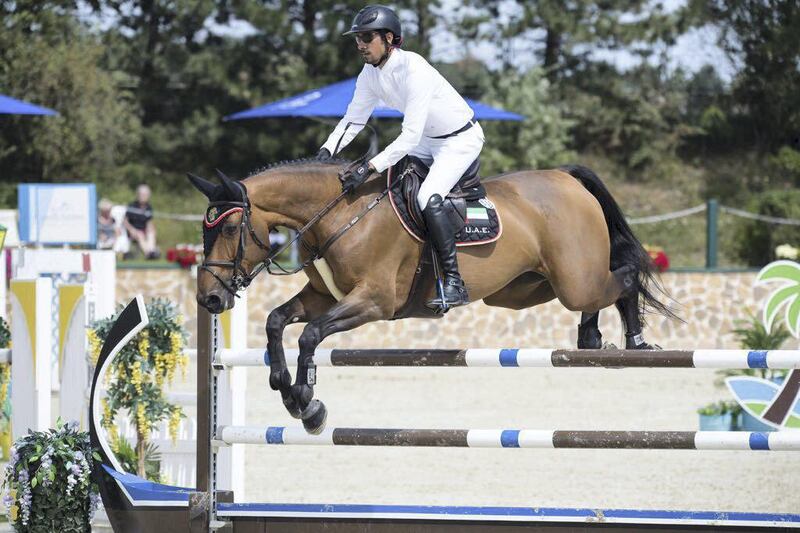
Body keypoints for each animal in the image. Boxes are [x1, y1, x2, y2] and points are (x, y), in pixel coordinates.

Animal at [191, 158, 672, 432]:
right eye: (204, 230)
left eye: (229, 229)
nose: (209, 300)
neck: (340, 214)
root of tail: (566, 179)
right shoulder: (323, 296)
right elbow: (276, 321)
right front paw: (283, 386)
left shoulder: (373, 301)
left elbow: (309, 336)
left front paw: (307, 402)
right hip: (524, 289)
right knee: (600, 288)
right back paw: (592, 337)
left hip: (573, 279)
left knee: (625, 274)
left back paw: (635, 340)